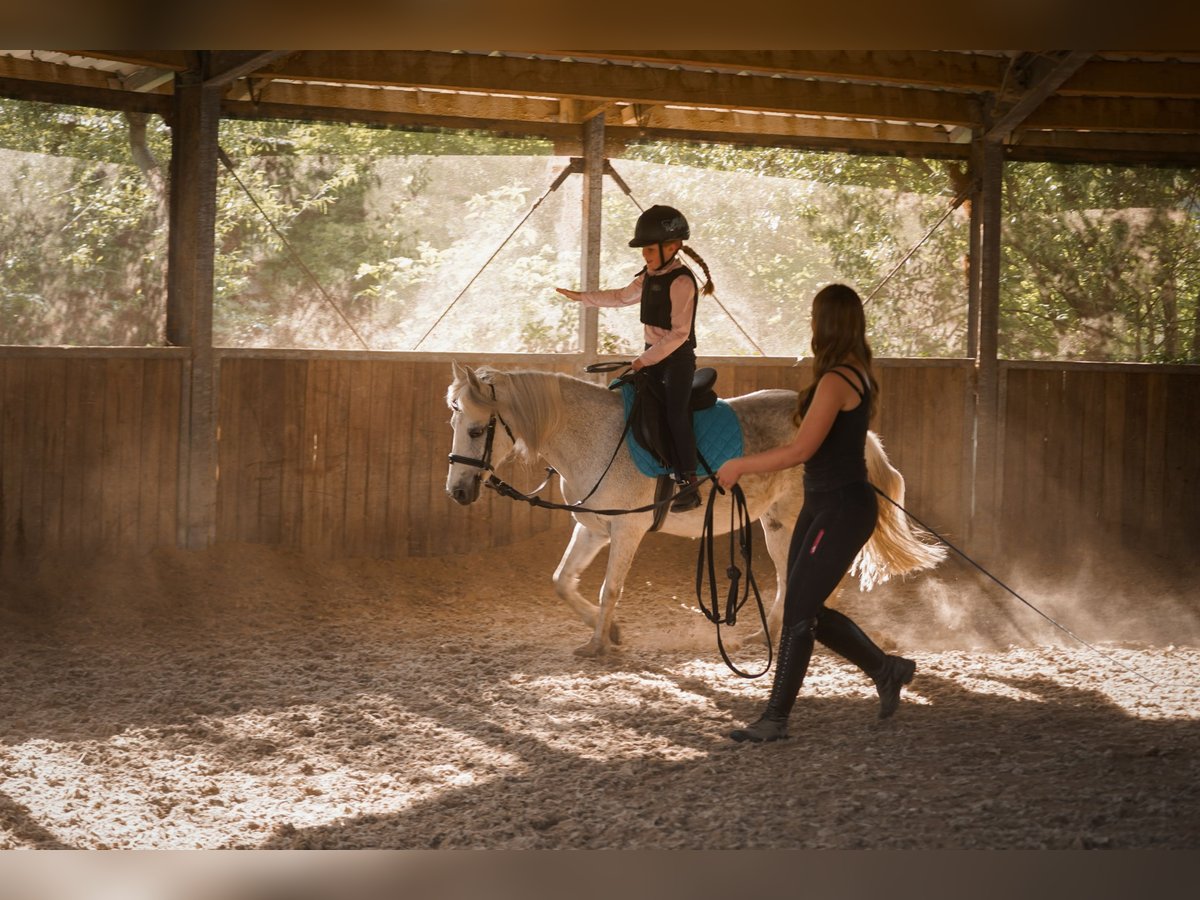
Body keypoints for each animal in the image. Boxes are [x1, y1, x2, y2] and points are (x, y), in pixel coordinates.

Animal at [446, 362, 940, 657]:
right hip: (776, 522)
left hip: (795, 520)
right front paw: (610, 633)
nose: (458, 492)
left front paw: (599, 645)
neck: (595, 437)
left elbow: (609, 589)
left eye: (475, 430)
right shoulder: (593, 529)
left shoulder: (626, 533)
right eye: (454, 422)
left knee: (801, 581)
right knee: (789, 581)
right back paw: (761, 636)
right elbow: (562, 582)